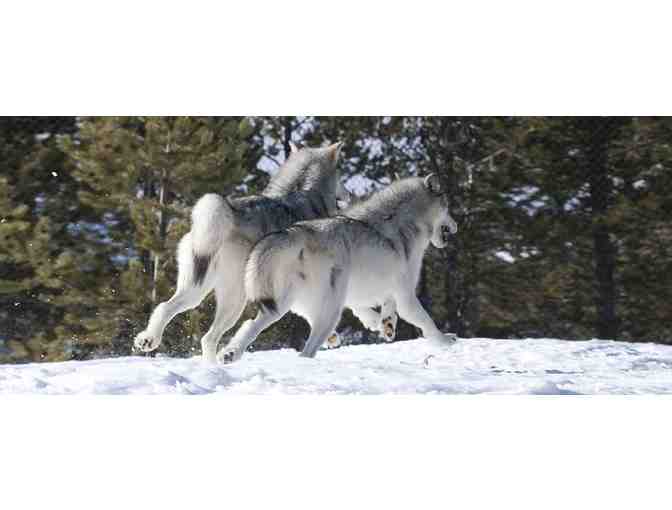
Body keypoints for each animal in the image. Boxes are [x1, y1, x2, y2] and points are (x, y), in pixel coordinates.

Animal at [134, 141, 350, 360]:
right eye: (340, 175)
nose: (349, 194)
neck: (303, 193)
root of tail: (229, 213)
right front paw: (332, 337)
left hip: (196, 289)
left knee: (174, 315)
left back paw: (149, 341)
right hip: (236, 298)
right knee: (209, 335)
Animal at [218, 174, 460, 362]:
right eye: (448, 207)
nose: (456, 227)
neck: (404, 226)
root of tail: (294, 232)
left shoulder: (385, 290)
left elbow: (381, 309)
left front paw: (386, 325)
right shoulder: (406, 295)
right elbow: (426, 321)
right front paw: (446, 341)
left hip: (282, 306)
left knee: (249, 326)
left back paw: (229, 355)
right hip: (330, 311)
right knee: (307, 350)